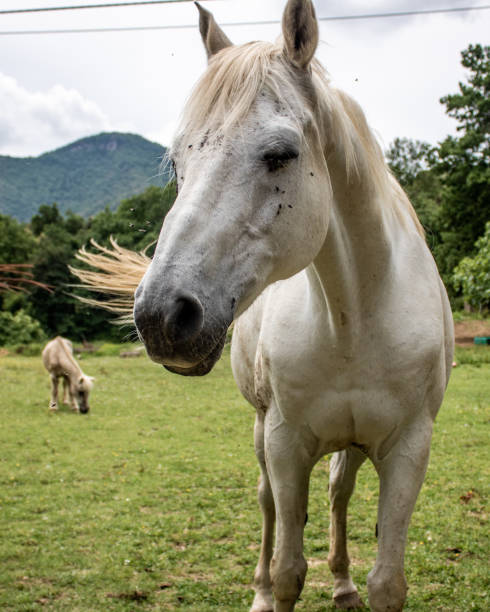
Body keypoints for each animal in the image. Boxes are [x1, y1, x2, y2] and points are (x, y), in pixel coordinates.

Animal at [72, 2, 452, 608]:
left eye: (279, 155)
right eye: (176, 163)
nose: (161, 317)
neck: (353, 318)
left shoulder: (410, 449)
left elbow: (387, 581)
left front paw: (352, 582)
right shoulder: (284, 442)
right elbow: (288, 569)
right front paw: (272, 590)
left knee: (338, 492)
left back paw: (341, 582)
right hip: (261, 432)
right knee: (269, 503)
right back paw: (261, 590)